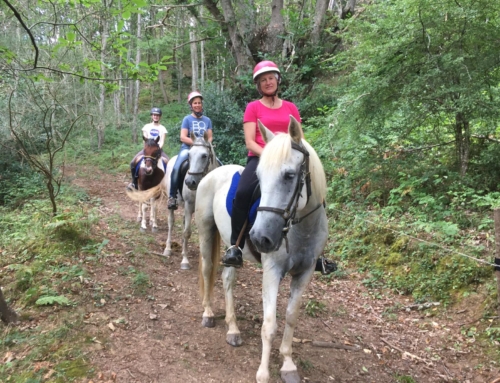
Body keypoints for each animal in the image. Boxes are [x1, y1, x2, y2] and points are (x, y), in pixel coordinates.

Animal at [164, 132, 219, 270]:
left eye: (204, 155)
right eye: (189, 155)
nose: (190, 182)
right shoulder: (189, 206)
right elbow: (187, 232)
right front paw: (185, 261)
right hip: (173, 203)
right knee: (171, 223)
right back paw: (168, 249)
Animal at [195, 117, 328, 383]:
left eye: (289, 175)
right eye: (259, 177)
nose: (259, 238)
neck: (302, 229)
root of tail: (212, 174)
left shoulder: (306, 272)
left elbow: (291, 318)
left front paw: (288, 365)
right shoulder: (272, 271)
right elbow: (269, 325)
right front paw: (264, 373)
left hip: (230, 246)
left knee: (227, 278)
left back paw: (233, 329)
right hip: (206, 231)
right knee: (207, 270)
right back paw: (208, 314)